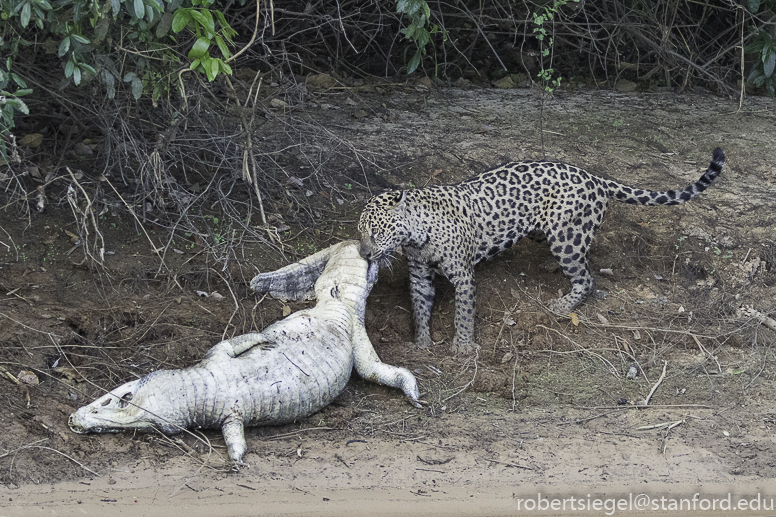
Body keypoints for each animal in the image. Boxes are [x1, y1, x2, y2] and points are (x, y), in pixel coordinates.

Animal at [358, 147, 725, 355]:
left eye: (376, 232)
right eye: (360, 233)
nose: (364, 254)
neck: (416, 235)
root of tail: (595, 177)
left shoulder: (463, 275)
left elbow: (463, 313)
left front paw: (463, 346)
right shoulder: (420, 275)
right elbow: (420, 308)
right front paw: (421, 342)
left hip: (567, 237)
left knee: (587, 279)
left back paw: (562, 304)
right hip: (550, 232)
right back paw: (550, 267)